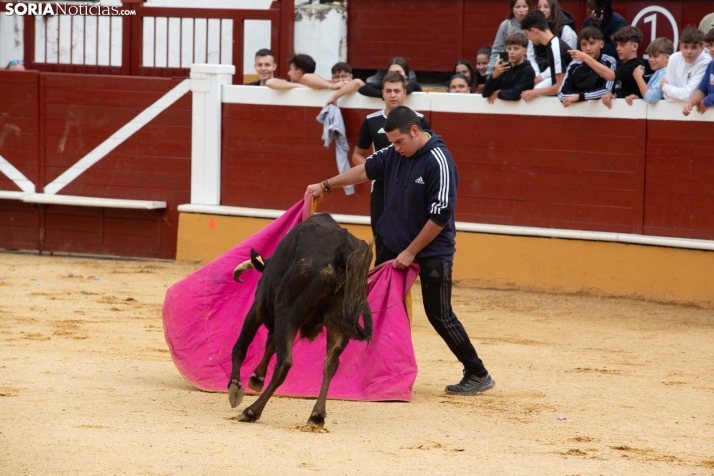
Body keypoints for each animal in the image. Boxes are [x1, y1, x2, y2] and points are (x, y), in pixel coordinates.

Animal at [228, 214, 372, 426]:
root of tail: (343, 252)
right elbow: (270, 342)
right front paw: (256, 377)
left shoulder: (259, 307)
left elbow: (241, 345)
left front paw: (235, 386)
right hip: (338, 325)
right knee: (330, 364)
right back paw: (317, 416)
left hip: (287, 315)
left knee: (285, 363)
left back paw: (252, 411)